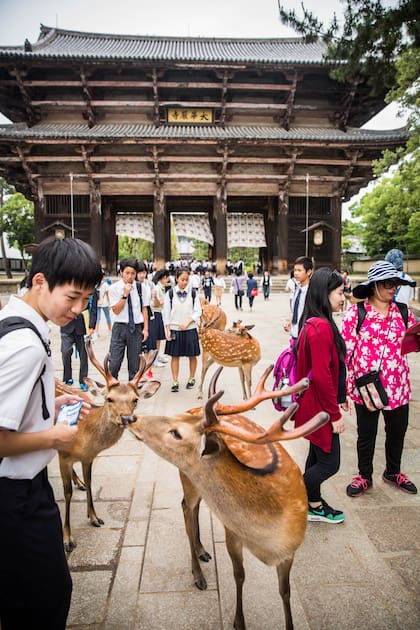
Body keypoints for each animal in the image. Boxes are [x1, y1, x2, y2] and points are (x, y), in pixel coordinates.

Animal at [55, 340, 160, 552]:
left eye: (135, 399)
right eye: (109, 399)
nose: (127, 418)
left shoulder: (88, 458)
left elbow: (90, 483)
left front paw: (94, 517)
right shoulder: (63, 455)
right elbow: (67, 493)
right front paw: (68, 539)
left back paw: (78, 482)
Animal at [130, 368, 330, 628]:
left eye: (176, 433)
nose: (132, 419)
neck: (267, 539)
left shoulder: (290, 552)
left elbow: (285, 591)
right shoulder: (232, 531)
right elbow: (239, 575)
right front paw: (238, 622)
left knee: (195, 507)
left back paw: (202, 550)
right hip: (187, 478)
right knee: (186, 507)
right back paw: (198, 574)